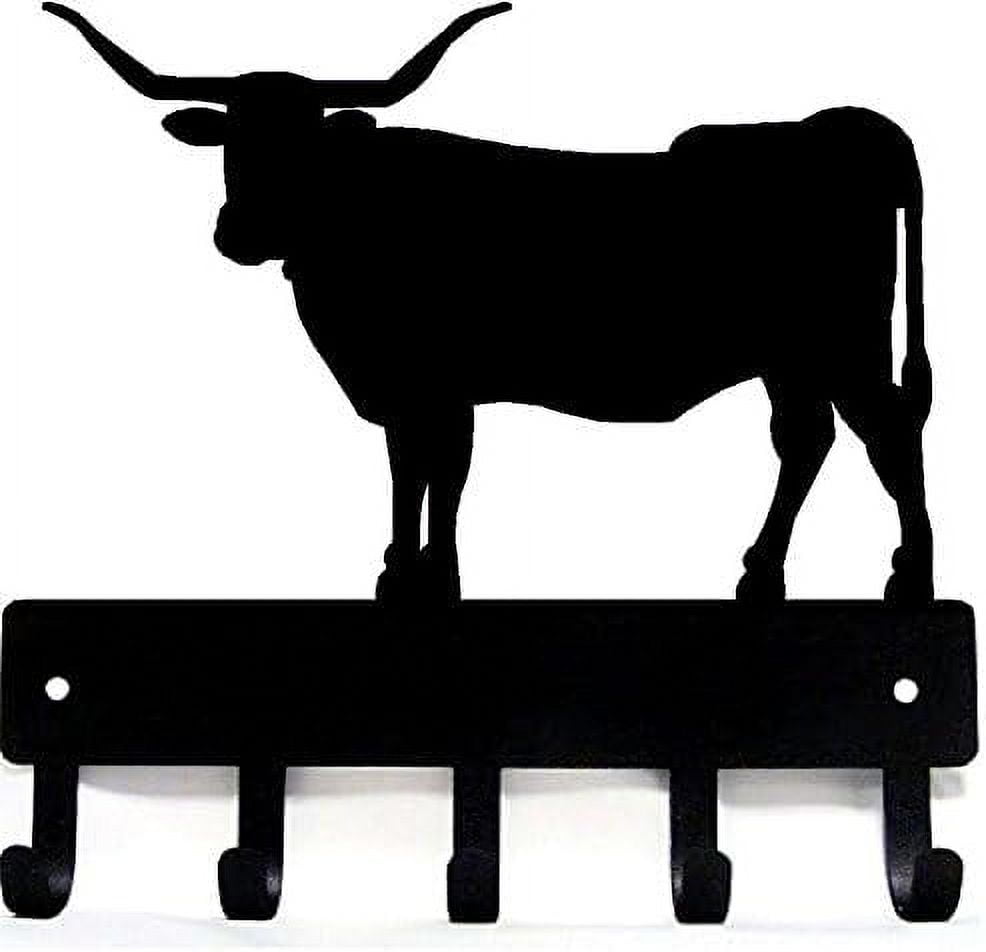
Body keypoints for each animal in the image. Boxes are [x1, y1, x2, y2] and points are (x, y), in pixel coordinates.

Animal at [44, 2, 935, 606]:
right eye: (232, 141)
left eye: (307, 144)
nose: (241, 233)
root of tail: (845, 128)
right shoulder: (414, 390)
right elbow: (415, 470)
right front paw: (407, 573)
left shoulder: (436, 386)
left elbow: (437, 471)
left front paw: (427, 579)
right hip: (791, 357)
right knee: (806, 438)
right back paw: (760, 575)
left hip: (843, 344)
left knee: (885, 432)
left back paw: (909, 575)